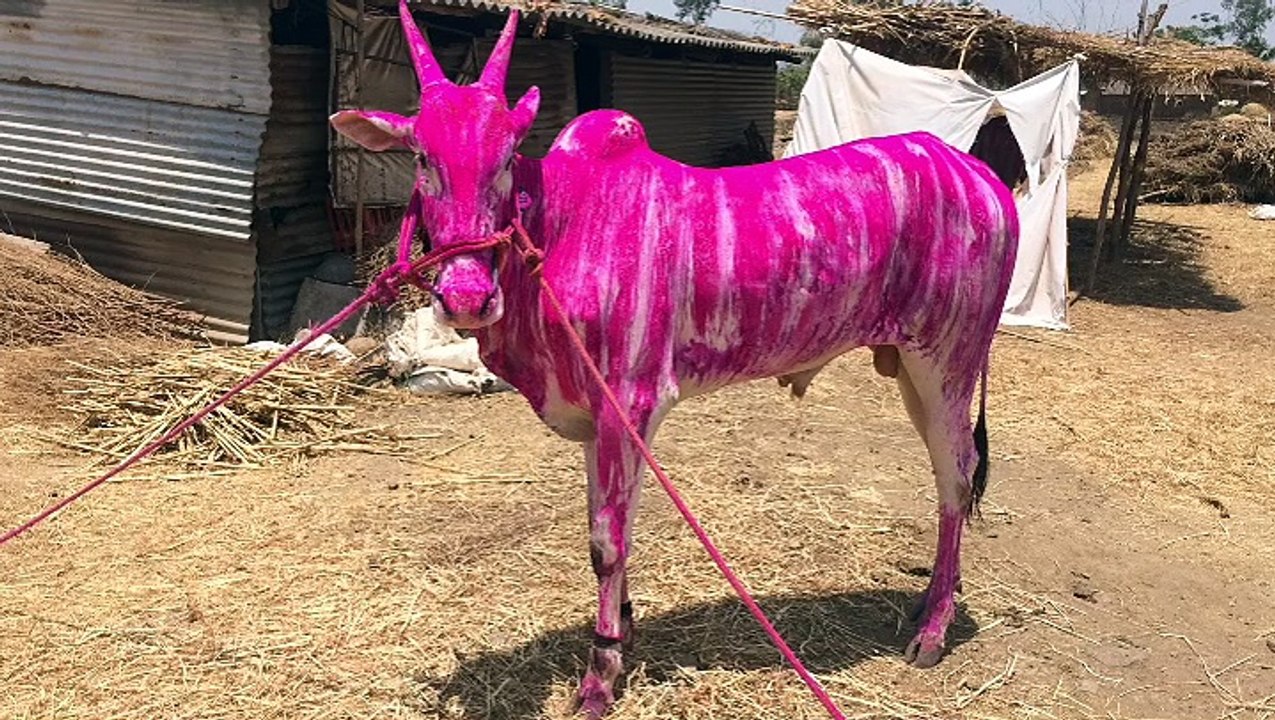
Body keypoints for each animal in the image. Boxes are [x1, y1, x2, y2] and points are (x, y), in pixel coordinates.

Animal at [331, 3, 1018, 716]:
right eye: (421, 157)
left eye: (505, 157)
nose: (466, 296)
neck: (560, 226)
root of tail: (982, 178)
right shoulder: (596, 415)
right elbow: (608, 525)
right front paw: (623, 628)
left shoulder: (631, 400)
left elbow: (607, 541)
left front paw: (600, 675)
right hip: (912, 365)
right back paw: (929, 603)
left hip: (945, 360)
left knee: (957, 477)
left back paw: (934, 628)